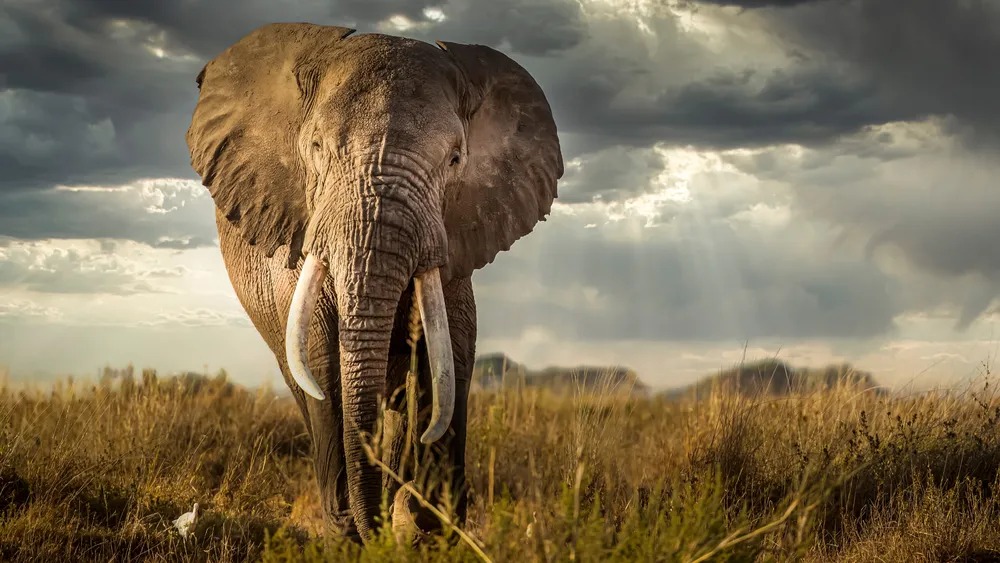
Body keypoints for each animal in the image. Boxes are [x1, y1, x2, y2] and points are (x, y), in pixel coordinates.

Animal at [184, 23, 563, 543]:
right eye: (316, 148)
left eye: (455, 159)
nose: (374, 528)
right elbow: (324, 362)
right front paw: (355, 531)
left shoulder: (456, 235)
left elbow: (450, 355)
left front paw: (429, 525)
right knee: (303, 382)